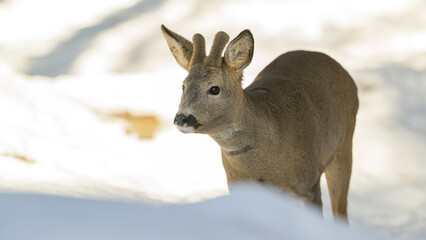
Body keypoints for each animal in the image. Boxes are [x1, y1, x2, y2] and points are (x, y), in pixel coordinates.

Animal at [161, 24, 358, 221]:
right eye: (183, 86)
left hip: (342, 147)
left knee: (340, 210)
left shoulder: (309, 182)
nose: (182, 118)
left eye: (214, 89)